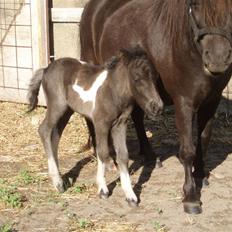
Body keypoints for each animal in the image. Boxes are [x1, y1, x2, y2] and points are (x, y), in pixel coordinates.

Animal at [27, 49, 163, 207]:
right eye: (137, 78)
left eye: (155, 77)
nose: (157, 107)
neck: (113, 91)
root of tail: (46, 69)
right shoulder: (100, 123)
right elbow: (103, 153)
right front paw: (103, 190)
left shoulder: (120, 124)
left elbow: (123, 156)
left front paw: (131, 196)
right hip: (57, 106)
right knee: (44, 130)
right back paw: (57, 182)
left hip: (67, 110)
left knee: (55, 137)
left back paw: (60, 178)